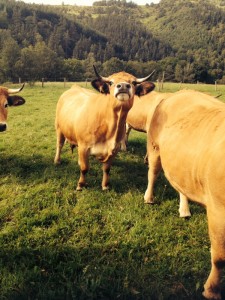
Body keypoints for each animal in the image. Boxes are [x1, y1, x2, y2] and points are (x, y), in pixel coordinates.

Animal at [144, 89, 225, 300]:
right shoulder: (218, 210)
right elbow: (220, 257)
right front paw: (212, 290)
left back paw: (184, 210)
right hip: (154, 146)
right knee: (153, 171)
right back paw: (149, 198)